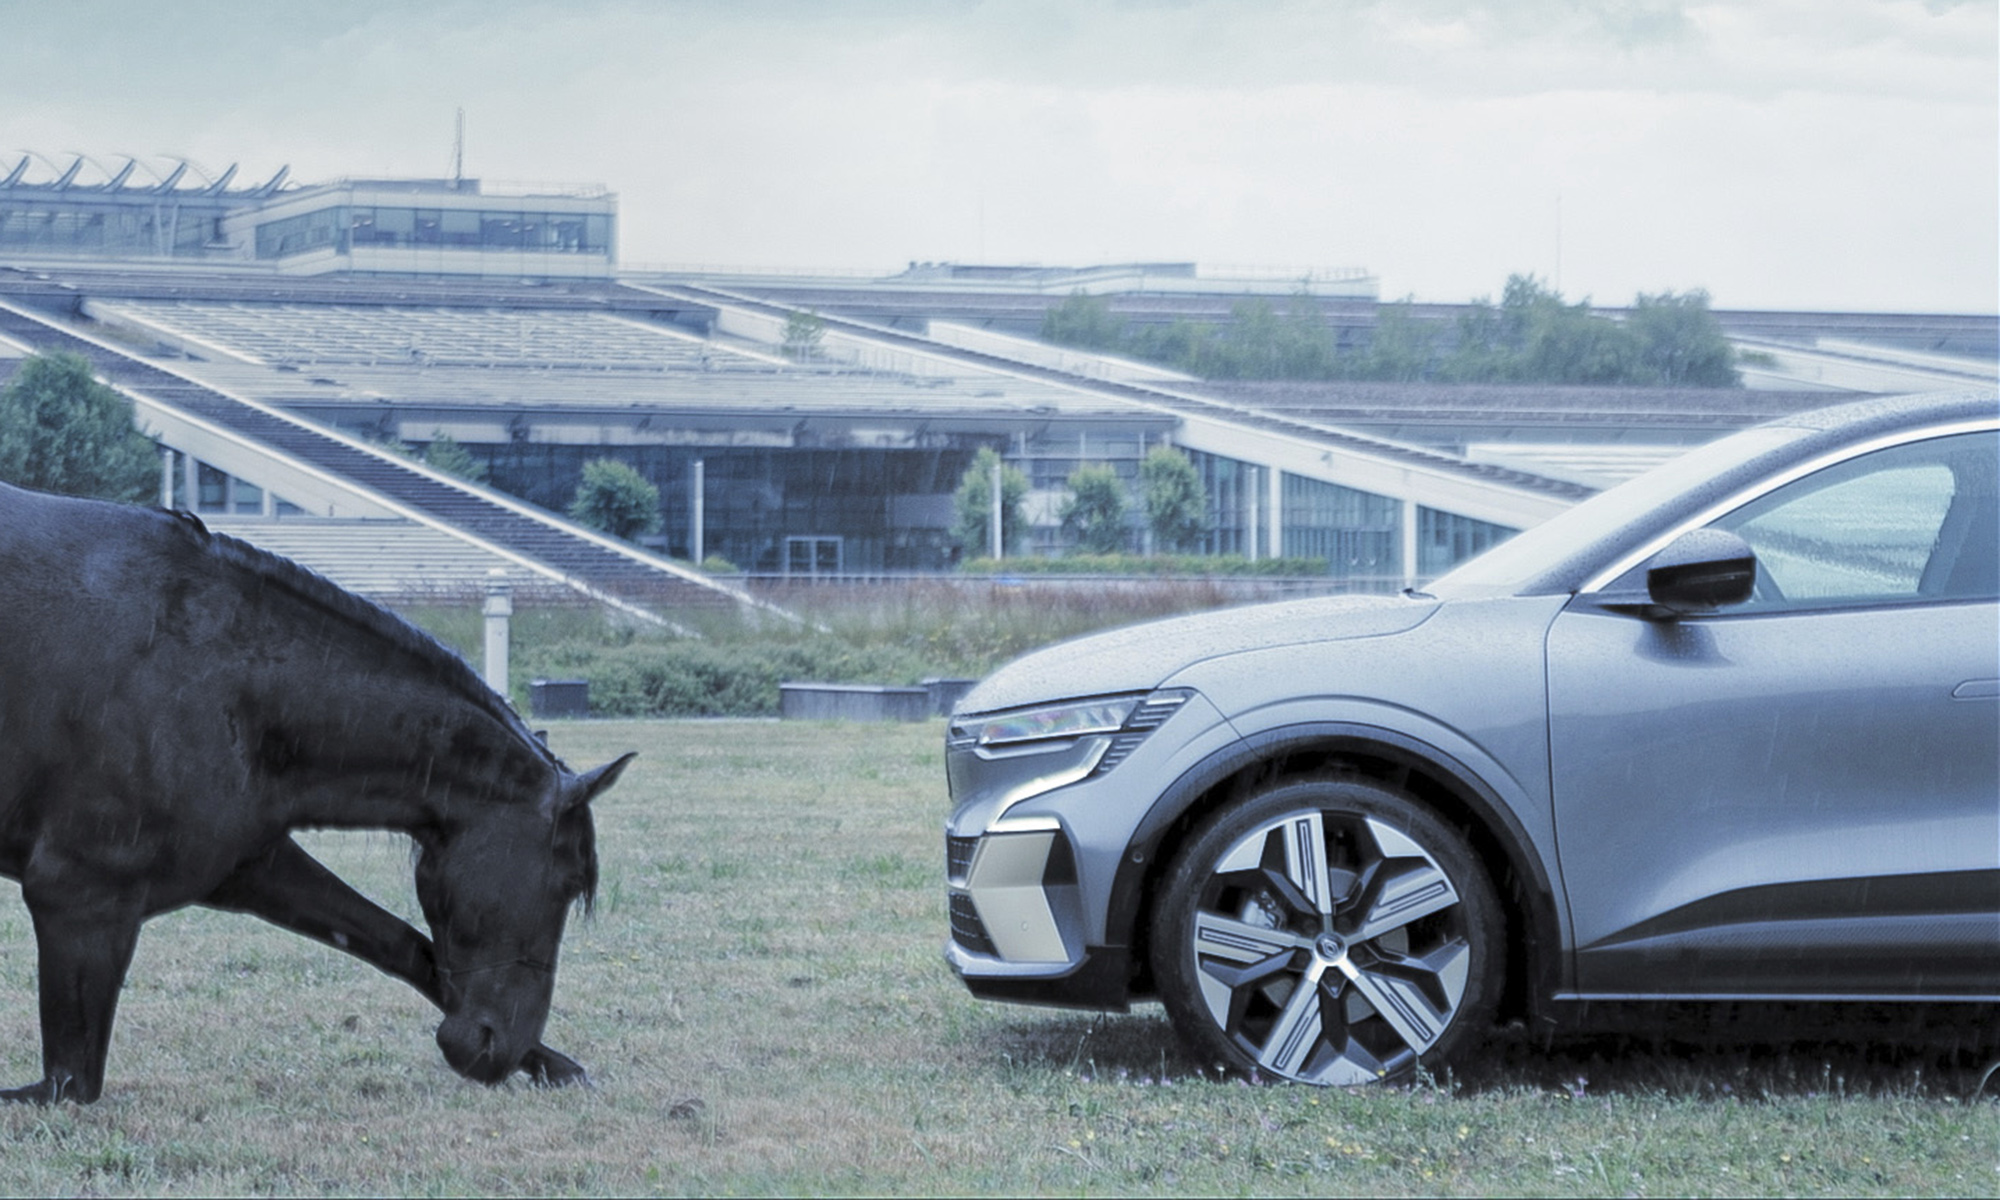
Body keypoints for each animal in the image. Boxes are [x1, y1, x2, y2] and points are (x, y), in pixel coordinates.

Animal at [0, 482, 632, 1104]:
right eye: (568, 882)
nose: (492, 1046)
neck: (211, 673)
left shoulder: (243, 865)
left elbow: (398, 943)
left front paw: (551, 1063)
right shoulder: (81, 899)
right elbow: (68, 1086)